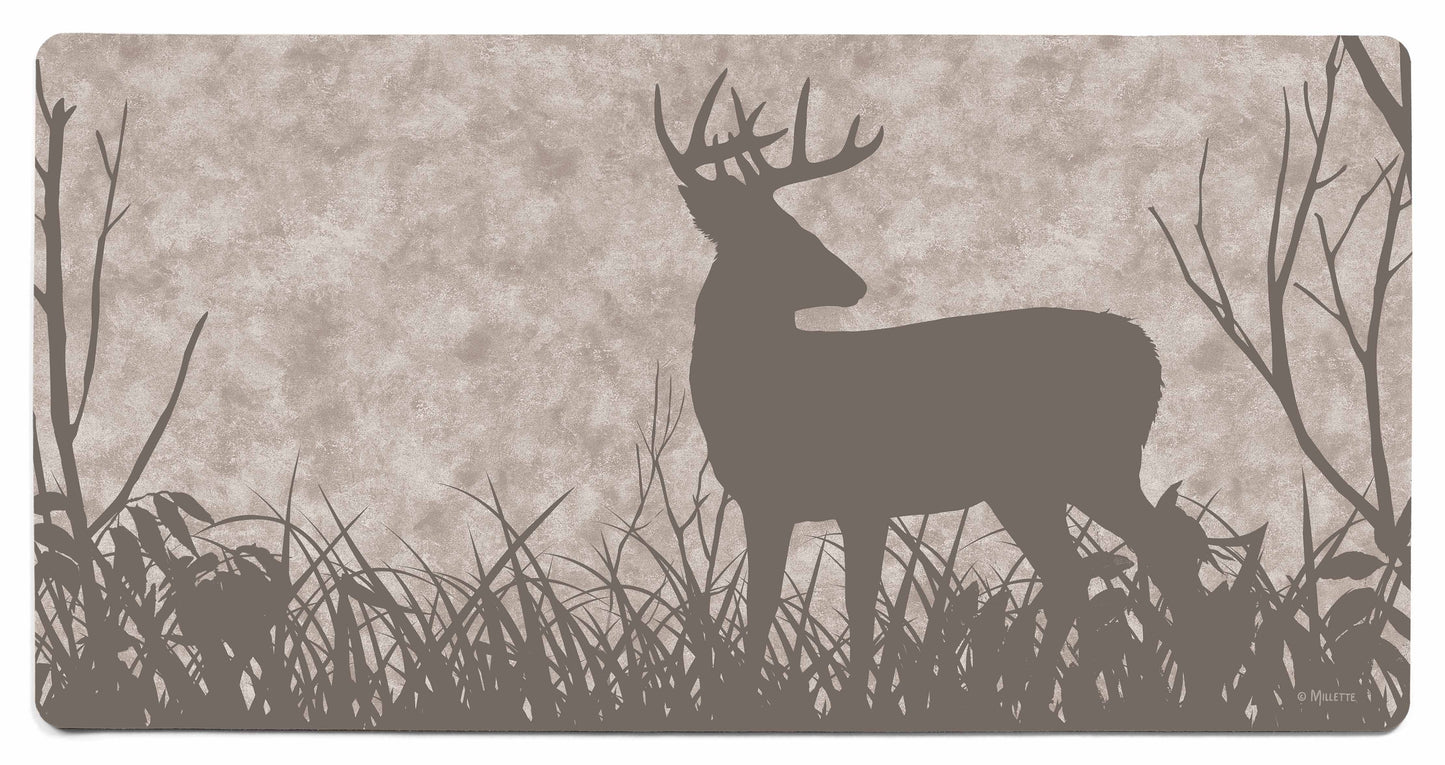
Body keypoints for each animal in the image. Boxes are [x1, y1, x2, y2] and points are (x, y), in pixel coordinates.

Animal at [654, 71, 1221, 719]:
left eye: (801, 229)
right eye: (777, 237)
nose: (855, 283)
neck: (763, 385)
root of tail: (1148, 353)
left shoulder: (862, 494)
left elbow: (858, 605)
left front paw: (856, 709)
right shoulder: (765, 503)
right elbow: (762, 607)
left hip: (1086, 463)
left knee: (1150, 551)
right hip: (1036, 483)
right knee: (1089, 569)